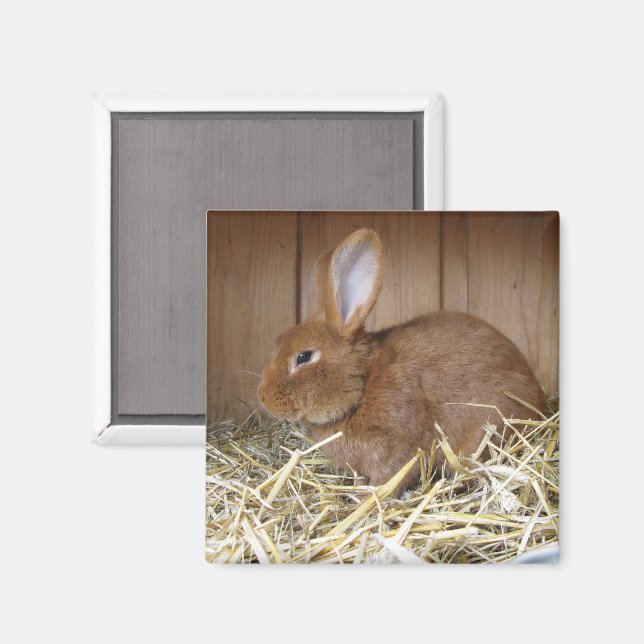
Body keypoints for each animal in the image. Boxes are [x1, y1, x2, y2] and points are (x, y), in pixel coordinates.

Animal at [257, 228, 547, 495]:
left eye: (303, 357)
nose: (262, 397)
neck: (364, 383)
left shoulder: (399, 448)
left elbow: (393, 476)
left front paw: (372, 496)